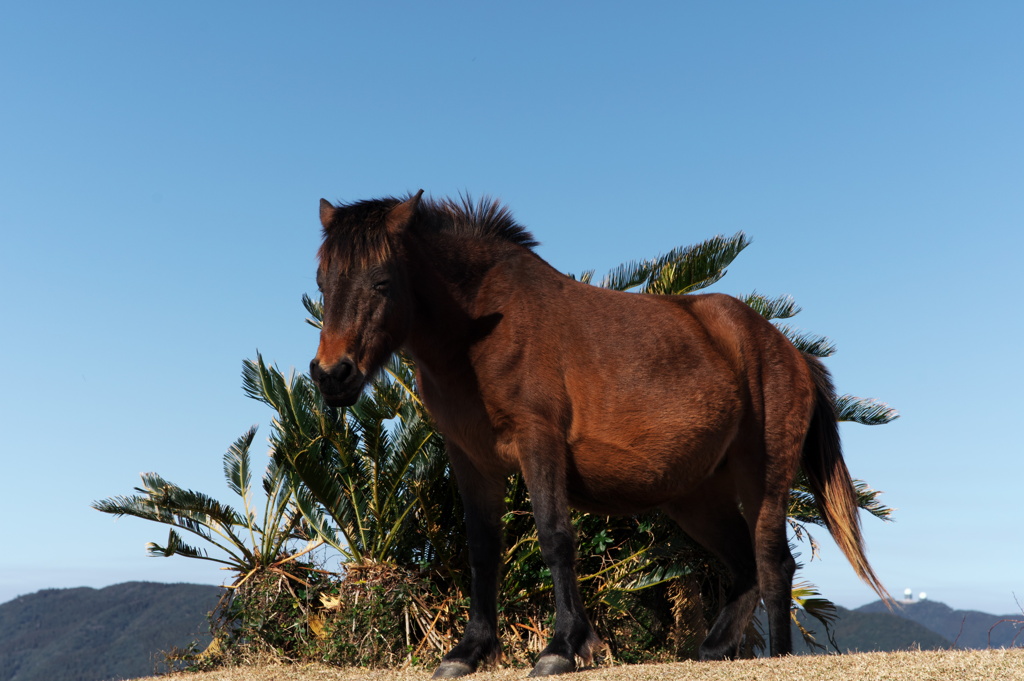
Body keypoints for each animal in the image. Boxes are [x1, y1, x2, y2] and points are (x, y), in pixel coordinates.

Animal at [309, 191, 888, 675]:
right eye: (322, 282)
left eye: (382, 282)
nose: (332, 375)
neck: (484, 328)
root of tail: (789, 350)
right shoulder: (470, 459)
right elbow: (482, 550)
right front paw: (469, 652)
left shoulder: (538, 443)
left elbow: (554, 537)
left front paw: (562, 646)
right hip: (697, 496)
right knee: (745, 567)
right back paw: (715, 648)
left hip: (762, 477)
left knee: (772, 563)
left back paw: (778, 656)